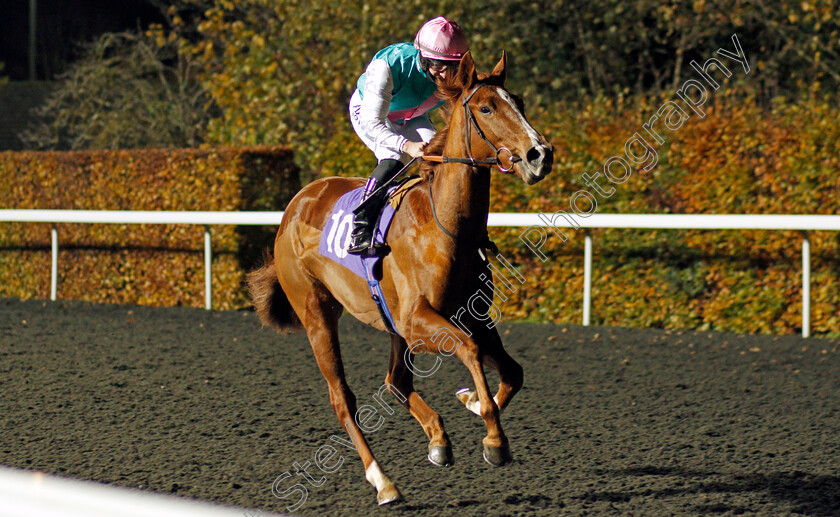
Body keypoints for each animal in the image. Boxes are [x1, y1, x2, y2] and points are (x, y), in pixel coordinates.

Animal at [246, 52, 556, 504]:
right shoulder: (417, 320)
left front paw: (472, 403)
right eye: (486, 108)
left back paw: (438, 440)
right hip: (317, 312)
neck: (445, 226)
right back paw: (383, 481)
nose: (540, 154)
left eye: (518, 101)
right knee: (343, 398)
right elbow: (469, 351)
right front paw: (494, 439)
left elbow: (512, 372)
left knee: (395, 381)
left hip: (389, 323)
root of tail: (293, 209)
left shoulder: (472, 316)